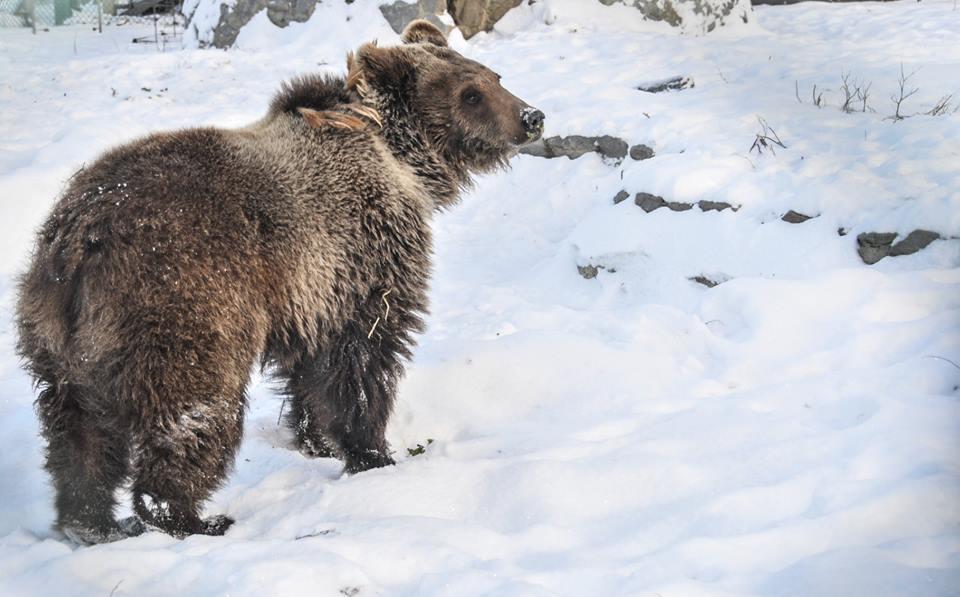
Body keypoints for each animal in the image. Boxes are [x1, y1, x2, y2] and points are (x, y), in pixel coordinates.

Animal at [16, 21, 540, 544]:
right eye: (470, 93)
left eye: (494, 76)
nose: (531, 117)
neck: (402, 158)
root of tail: (83, 236)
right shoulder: (363, 253)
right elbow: (365, 355)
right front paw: (373, 453)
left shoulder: (311, 289)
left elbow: (310, 366)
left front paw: (318, 439)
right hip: (182, 297)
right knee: (195, 407)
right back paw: (189, 516)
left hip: (61, 339)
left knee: (79, 431)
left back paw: (91, 521)